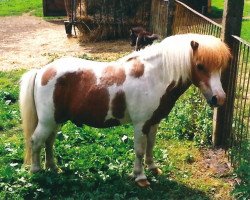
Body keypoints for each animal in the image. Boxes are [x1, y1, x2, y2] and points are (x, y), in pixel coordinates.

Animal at [19, 33, 230, 188]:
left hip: (56, 121)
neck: (154, 77)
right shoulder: (140, 125)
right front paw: (141, 177)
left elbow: (151, 146)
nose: (219, 98)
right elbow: (139, 150)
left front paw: (153, 168)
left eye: (220, 67)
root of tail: (42, 71)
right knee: (36, 141)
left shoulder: (153, 122)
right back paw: (37, 171)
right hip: (47, 121)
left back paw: (53, 168)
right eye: (200, 66)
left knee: (49, 142)